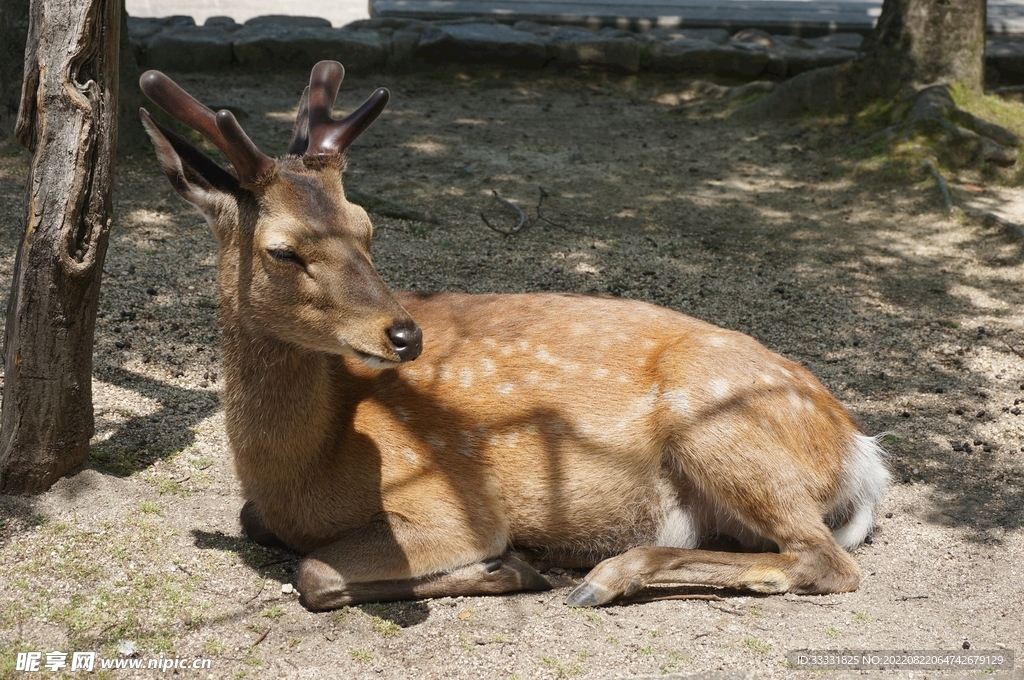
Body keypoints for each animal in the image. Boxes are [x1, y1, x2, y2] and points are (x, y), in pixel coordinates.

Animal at [138, 61, 890, 612]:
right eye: (283, 250)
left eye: (366, 226)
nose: (404, 334)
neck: (298, 473)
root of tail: (860, 452)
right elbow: (254, 523)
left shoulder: (452, 504)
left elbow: (316, 573)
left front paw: (514, 567)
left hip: (721, 421)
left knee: (827, 560)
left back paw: (604, 577)